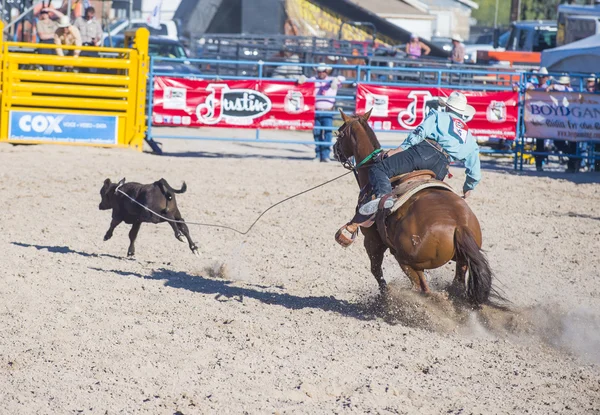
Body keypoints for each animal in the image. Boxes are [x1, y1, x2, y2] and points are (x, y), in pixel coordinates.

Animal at [332, 109, 496, 306]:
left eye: (340, 133)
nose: (334, 150)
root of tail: (459, 226)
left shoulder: (372, 241)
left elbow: (376, 270)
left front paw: (384, 295)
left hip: (406, 260)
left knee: (422, 288)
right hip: (461, 262)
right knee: (454, 286)